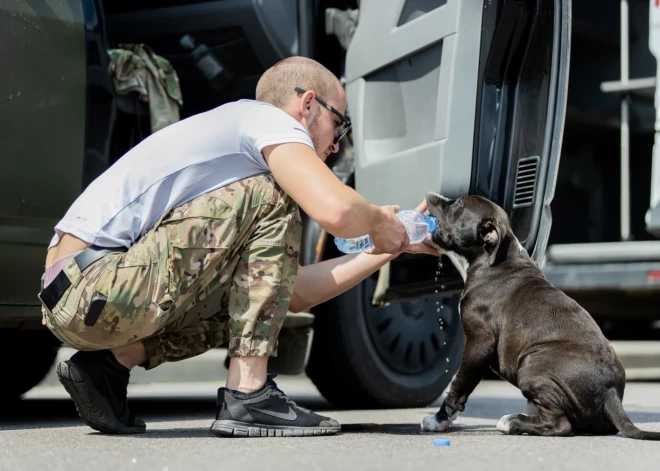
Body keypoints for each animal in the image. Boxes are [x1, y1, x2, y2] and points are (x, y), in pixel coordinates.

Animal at [420, 191, 660, 438]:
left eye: (458, 204)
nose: (431, 195)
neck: (492, 261)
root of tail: (612, 394)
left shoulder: (478, 343)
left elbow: (459, 384)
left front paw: (438, 420)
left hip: (533, 364)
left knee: (560, 424)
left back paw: (512, 422)